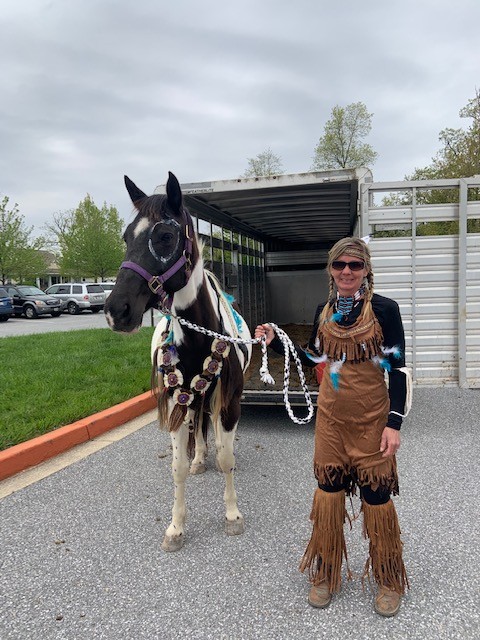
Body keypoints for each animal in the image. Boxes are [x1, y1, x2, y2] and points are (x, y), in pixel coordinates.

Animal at [104, 172, 252, 552]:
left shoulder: (229, 401)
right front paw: (176, 527)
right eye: (126, 236)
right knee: (197, 427)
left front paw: (232, 516)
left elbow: (227, 457)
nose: (116, 311)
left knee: (208, 427)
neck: (199, 339)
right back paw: (200, 458)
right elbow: (178, 467)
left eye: (166, 236)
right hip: (192, 397)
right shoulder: (176, 400)